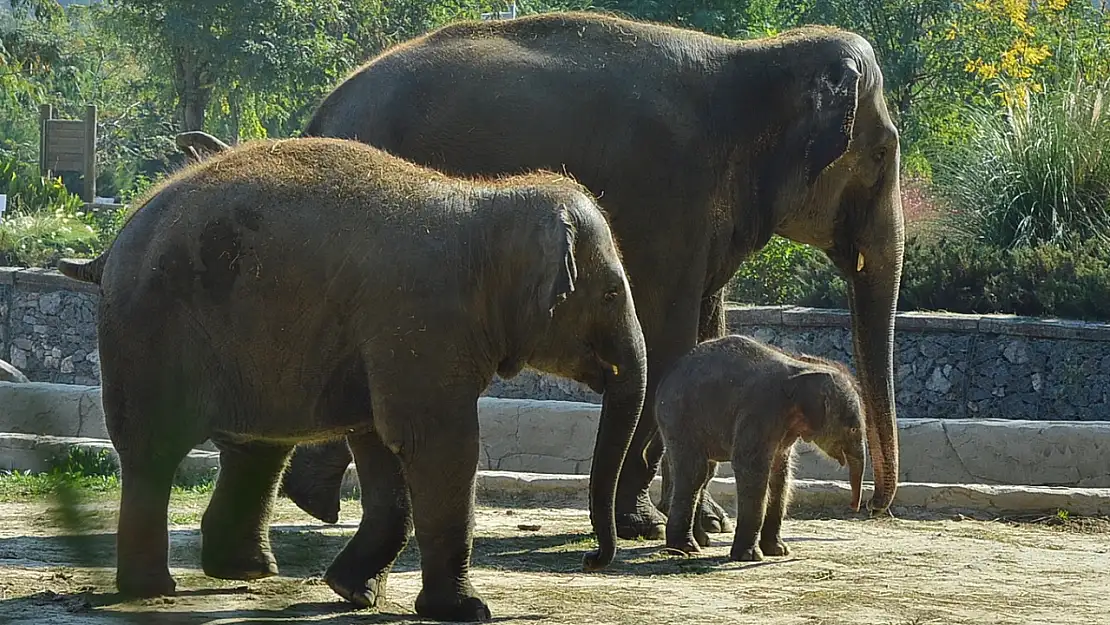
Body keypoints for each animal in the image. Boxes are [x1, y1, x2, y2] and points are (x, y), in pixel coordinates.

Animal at [56, 137, 648, 621]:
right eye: (612, 293)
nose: (593, 559)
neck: (488, 203)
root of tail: (112, 244)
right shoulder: (419, 322)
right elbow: (438, 444)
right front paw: (466, 612)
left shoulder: (392, 342)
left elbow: (382, 441)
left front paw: (353, 593)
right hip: (149, 330)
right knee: (153, 451)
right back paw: (152, 590)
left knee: (256, 449)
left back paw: (247, 573)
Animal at [657, 335, 865, 563]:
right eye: (853, 429)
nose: (854, 507)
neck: (803, 370)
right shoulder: (760, 412)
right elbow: (751, 469)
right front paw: (750, 556)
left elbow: (780, 475)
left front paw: (779, 551)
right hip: (679, 418)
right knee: (694, 472)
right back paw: (685, 548)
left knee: (705, 474)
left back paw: (700, 542)